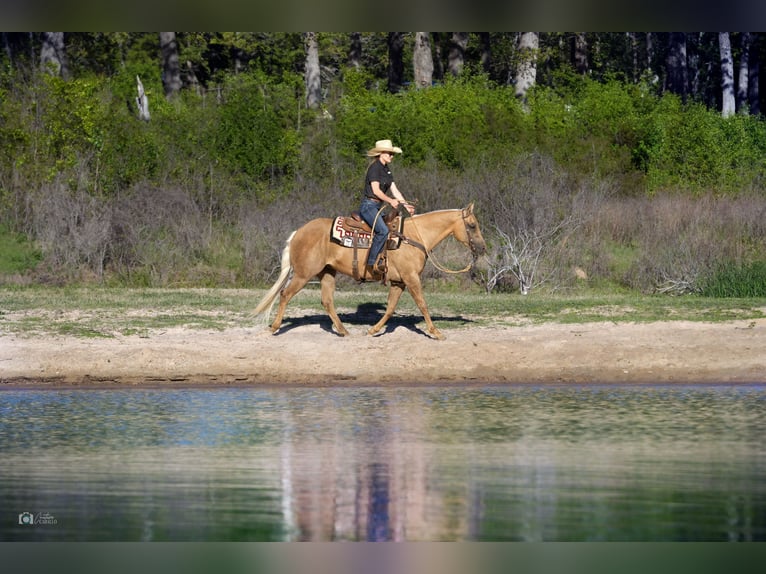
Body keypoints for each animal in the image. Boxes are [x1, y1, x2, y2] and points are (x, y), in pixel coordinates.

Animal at [256, 204, 486, 340]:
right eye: (472, 225)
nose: (482, 248)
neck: (413, 237)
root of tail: (299, 232)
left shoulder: (399, 282)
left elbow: (390, 308)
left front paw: (374, 330)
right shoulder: (411, 279)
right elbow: (422, 304)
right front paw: (436, 332)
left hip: (327, 273)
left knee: (327, 301)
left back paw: (343, 330)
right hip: (303, 274)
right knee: (285, 294)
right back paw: (274, 327)